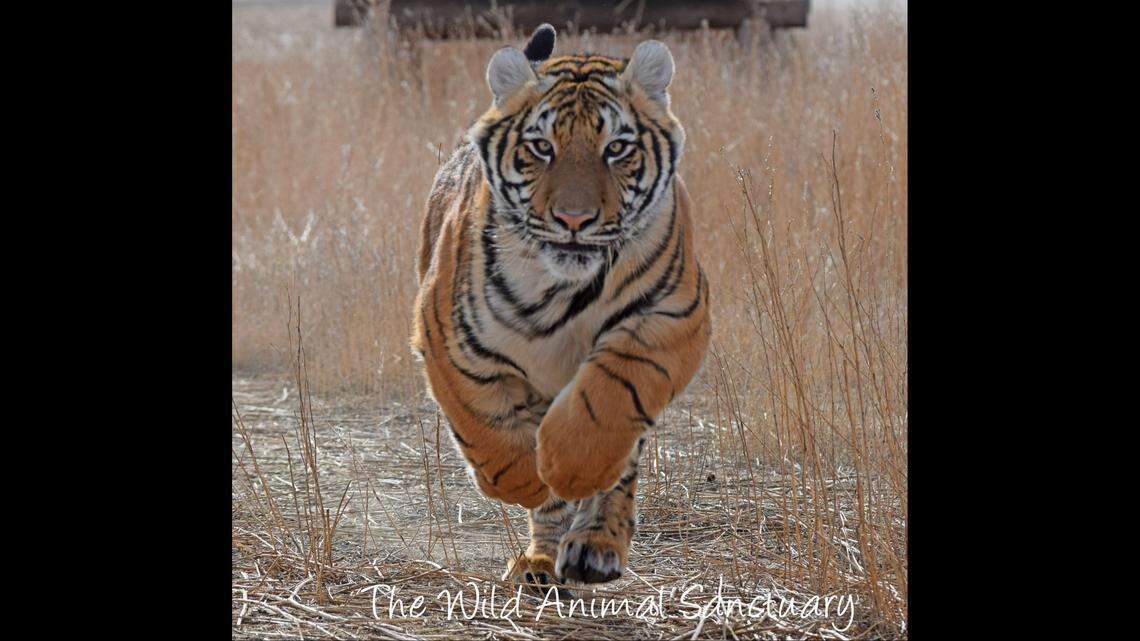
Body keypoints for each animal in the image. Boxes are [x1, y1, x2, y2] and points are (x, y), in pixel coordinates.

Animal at [411, 23, 711, 590]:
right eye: (541, 148)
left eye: (617, 148)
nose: (574, 219)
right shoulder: (448, 337)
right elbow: (484, 424)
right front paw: (529, 480)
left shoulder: (671, 315)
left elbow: (610, 398)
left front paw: (570, 467)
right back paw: (539, 560)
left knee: (620, 466)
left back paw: (594, 547)